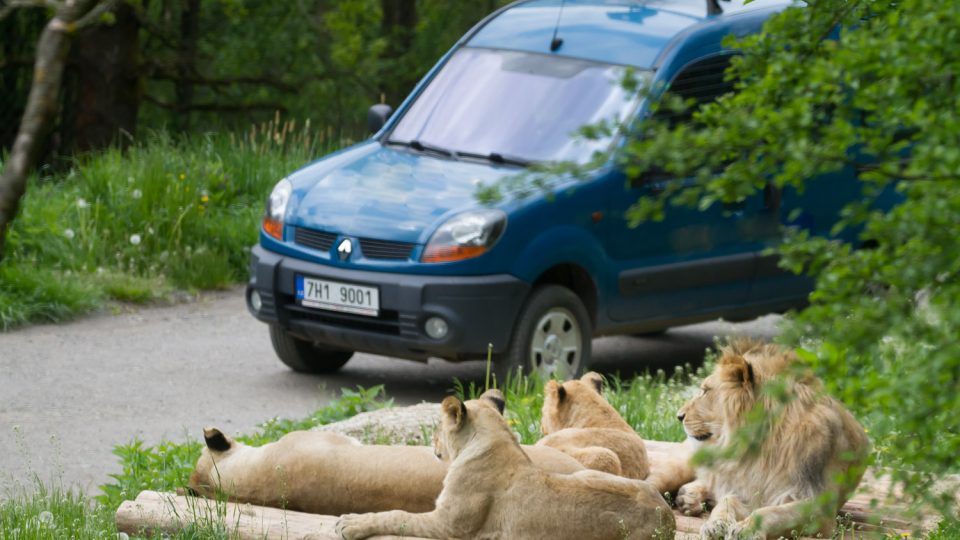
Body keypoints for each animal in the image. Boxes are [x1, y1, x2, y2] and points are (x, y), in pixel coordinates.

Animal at [338, 392, 676, 540]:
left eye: (436, 426)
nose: (431, 442)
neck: (495, 441)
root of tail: (668, 517)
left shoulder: (450, 526)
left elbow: (397, 516)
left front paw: (351, 523)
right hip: (587, 471)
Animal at [676, 340, 872, 536]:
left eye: (705, 391)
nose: (679, 416)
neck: (760, 448)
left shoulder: (818, 509)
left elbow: (769, 512)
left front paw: (746, 530)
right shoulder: (746, 491)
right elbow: (726, 501)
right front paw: (715, 524)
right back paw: (689, 495)